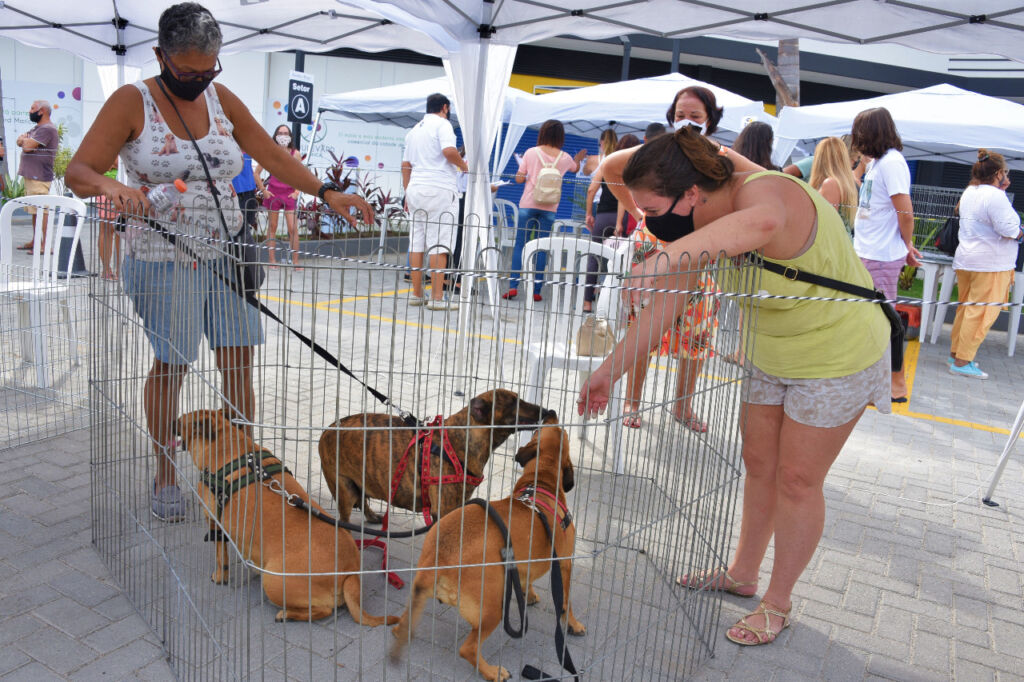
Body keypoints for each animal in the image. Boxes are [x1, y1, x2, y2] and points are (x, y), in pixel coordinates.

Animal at [176, 405, 399, 622]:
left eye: (182, 421)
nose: (172, 422)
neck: (226, 443)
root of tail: (350, 573)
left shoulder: (213, 520)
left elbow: (220, 556)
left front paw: (219, 575)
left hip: (273, 580)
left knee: (323, 611)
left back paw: (286, 614)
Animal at [389, 411, 585, 675]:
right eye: (558, 430)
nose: (551, 413)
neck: (540, 484)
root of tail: (437, 558)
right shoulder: (564, 564)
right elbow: (566, 602)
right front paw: (572, 624)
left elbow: (527, 578)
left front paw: (529, 594)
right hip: (493, 607)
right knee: (468, 649)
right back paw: (492, 672)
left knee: (401, 627)